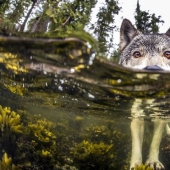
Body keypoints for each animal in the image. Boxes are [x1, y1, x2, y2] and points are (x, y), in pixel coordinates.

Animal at [119, 18, 170, 170]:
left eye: (167, 54)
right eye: (137, 54)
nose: (153, 70)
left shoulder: (160, 116)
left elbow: (155, 142)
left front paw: (153, 162)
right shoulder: (137, 117)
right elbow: (136, 146)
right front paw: (136, 165)